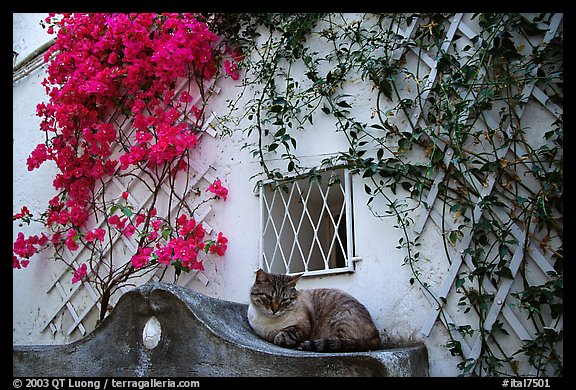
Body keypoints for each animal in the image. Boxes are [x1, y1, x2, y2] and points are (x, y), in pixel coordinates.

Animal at [248, 270, 382, 352]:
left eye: (285, 300)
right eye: (268, 297)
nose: (275, 310)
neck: (270, 322)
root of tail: (376, 334)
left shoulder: (304, 325)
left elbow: (287, 333)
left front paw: (283, 339)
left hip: (340, 321)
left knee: (338, 343)